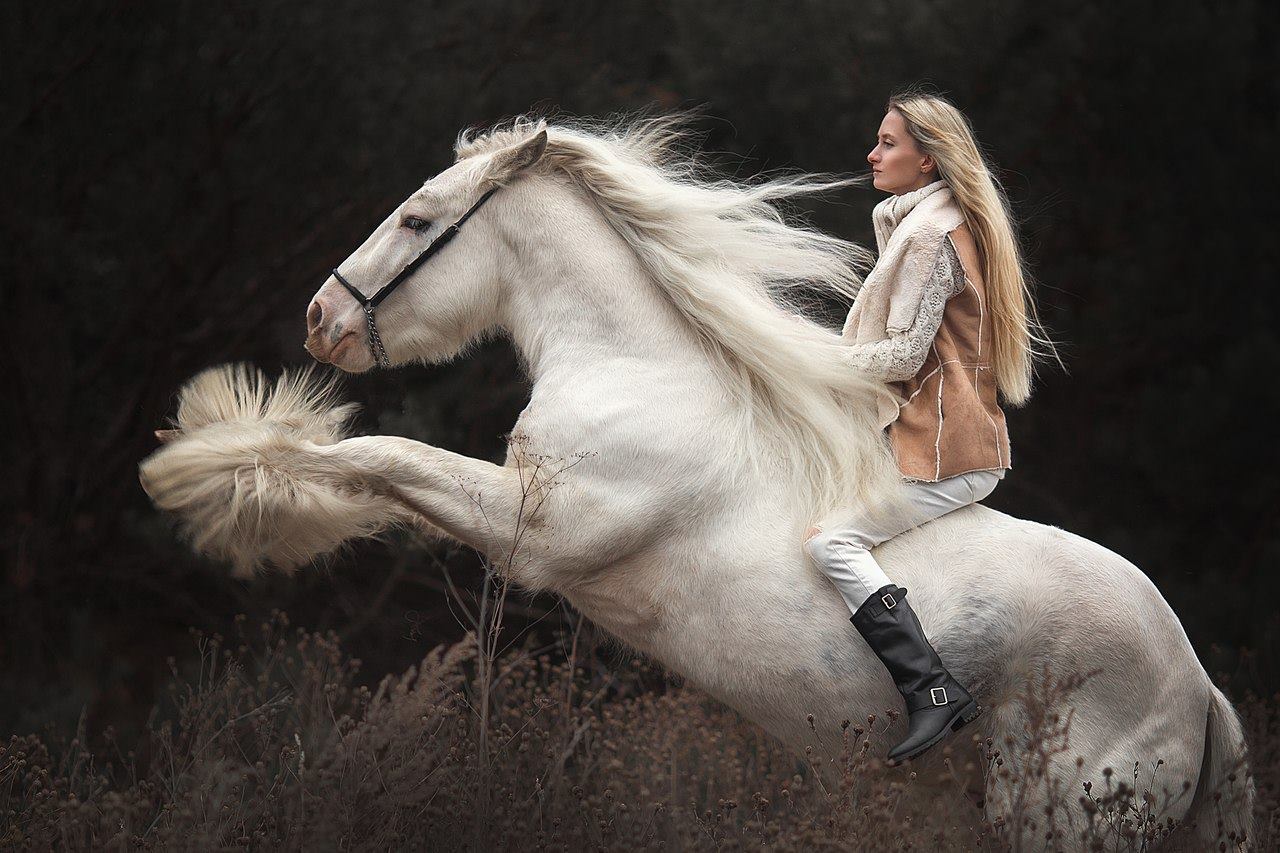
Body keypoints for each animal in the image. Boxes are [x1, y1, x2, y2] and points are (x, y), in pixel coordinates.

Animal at [137, 116, 1249, 845]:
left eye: (416, 220)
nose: (320, 319)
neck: (635, 372)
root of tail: (1195, 685)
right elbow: (373, 471)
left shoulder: (535, 533)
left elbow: (380, 455)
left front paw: (199, 471)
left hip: (1057, 820)